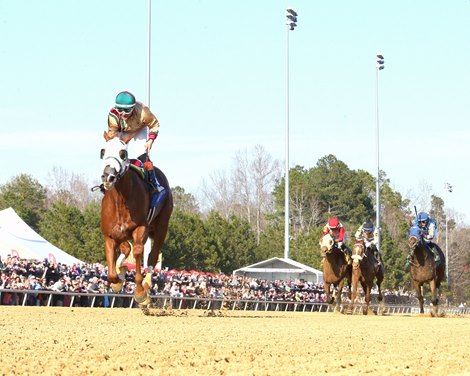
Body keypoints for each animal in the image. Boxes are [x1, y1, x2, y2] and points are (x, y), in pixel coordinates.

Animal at [98, 132, 173, 306]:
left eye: (123, 153)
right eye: (102, 152)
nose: (108, 176)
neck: (120, 200)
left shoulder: (141, 228)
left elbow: (138, 251)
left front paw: (140, 292)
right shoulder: (110, 236)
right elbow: (111, 272)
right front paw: (118, 281)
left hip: (161, 226)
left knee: (152, 255)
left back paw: (146, 283)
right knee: (126, 248)